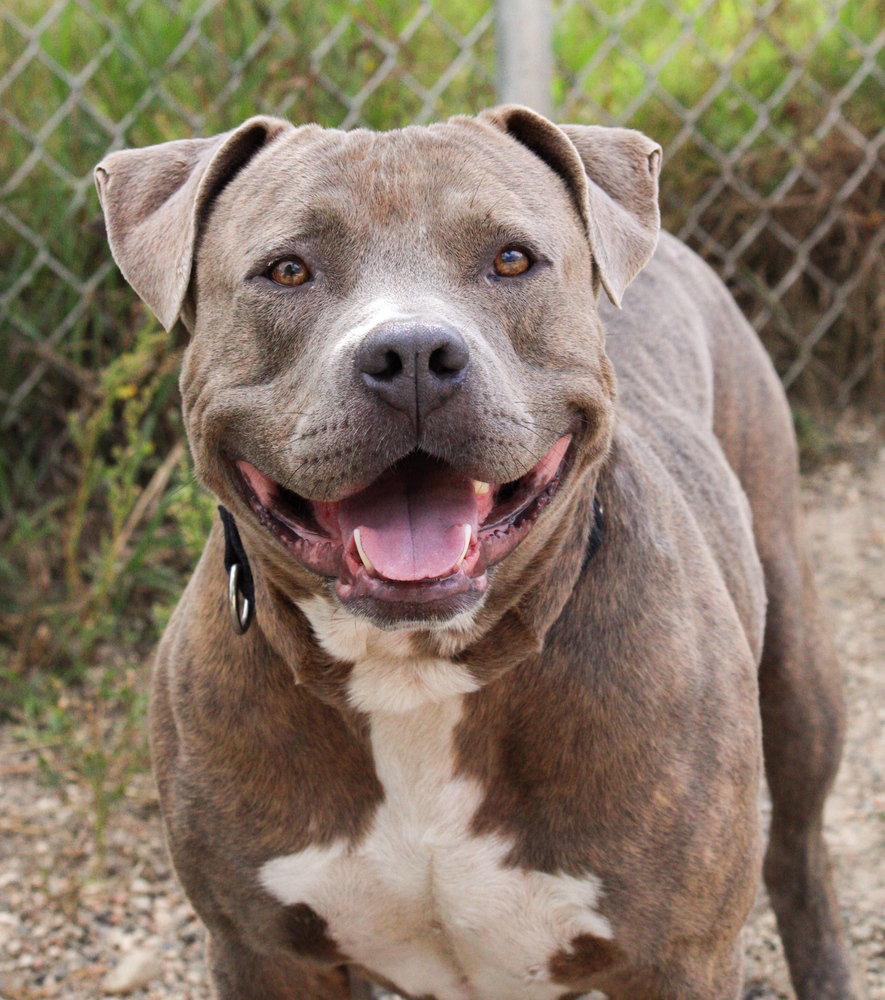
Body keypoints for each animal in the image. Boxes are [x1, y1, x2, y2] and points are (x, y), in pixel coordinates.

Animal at [95, 109, 856, 1000]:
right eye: (286, 270)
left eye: (511, 259)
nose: (412, 355)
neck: (413, 674)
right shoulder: (262, 953)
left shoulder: (680, 958)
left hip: (798, 663)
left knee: (799, 854)